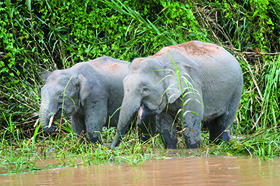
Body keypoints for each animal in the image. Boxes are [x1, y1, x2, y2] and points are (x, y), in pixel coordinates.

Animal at [111, 40, 243, 148]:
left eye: (144, 89)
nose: (111, 147)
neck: (160, 59)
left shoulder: (191, 85)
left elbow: (191, 120)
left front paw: (195, 152)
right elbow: (165, 122)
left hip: (236, 89)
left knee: (225, 120)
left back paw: (222, 146)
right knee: (214, 123)